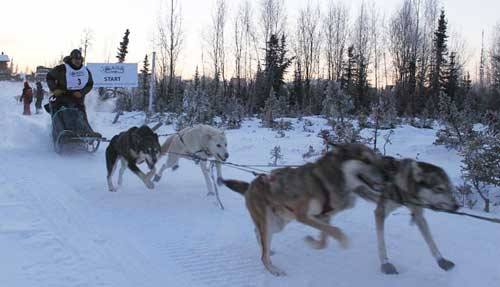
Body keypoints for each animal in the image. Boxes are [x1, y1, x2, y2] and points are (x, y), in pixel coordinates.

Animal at [224, 145, 386, 278]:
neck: (326, 180)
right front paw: (343, 241)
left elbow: (325, 238)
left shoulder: (324, 217)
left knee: (258, 233)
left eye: (377, 159)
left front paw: (313, 242)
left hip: (278, 223)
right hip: (271, 223)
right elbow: (336, 231)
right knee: (263, 254)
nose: (386, 175)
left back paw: (268, 250)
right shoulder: (302, 216)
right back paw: (273, 269)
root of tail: (251, 185)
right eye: (366, 160)